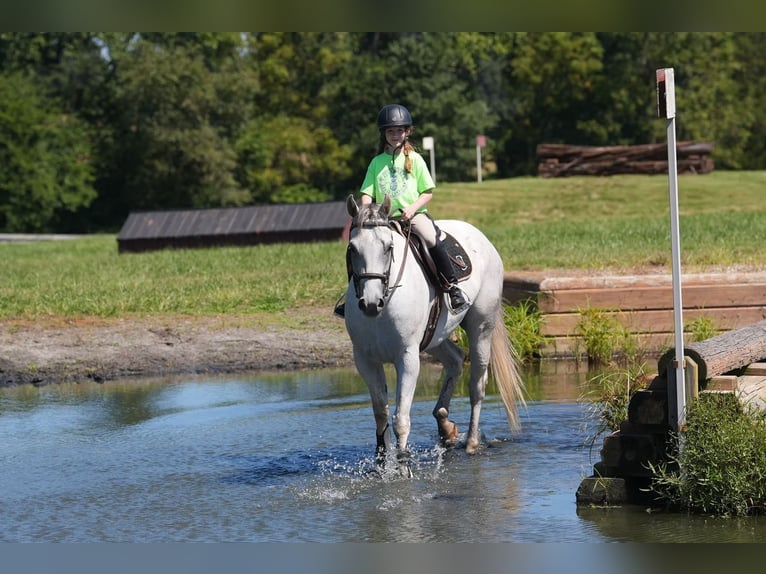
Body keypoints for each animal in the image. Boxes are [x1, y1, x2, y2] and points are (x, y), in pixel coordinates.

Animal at [343, 194, 525, 472]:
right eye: (352, 248)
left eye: (388, 247)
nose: (371, 303)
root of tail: (480, 237)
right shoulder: (365, 360)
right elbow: (380, 414)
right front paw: (381, 466)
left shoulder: (407, 357)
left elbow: (401, 418)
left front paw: (403, 466)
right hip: (434, 339)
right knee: (456, 359)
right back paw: (445, 427)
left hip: (481, 328)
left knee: (477, 385)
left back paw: (471, 442)